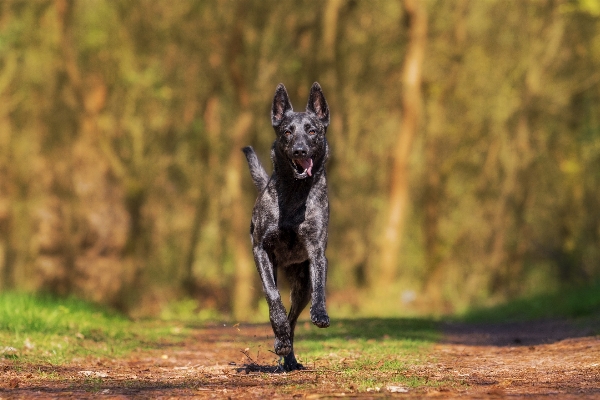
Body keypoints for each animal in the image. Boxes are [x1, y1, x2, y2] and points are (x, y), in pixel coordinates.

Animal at [241, 82, 330, 372]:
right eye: (287, 132)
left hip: (302, 287)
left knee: (294, 319)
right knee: (283, 314)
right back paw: (282, 345)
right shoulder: (261, 251)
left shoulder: (317, 251)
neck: (294, 193)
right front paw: (278, 336)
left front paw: (320, 313)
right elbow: (273, 298)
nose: (300, 150)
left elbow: (320, 285)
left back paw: (289, 357)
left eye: (312, 131)